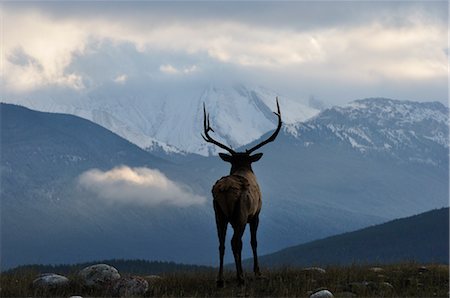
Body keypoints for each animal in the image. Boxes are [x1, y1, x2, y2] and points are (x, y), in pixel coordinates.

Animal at [203, 98, 282, 286]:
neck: (243, 167)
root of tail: (224, 189)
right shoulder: (256, 214)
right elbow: (253, 242)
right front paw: (257, 272)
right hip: (240, 213)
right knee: (235, 241)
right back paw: (240, 278)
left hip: (218, 213)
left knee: (222, 243)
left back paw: (220, 280)